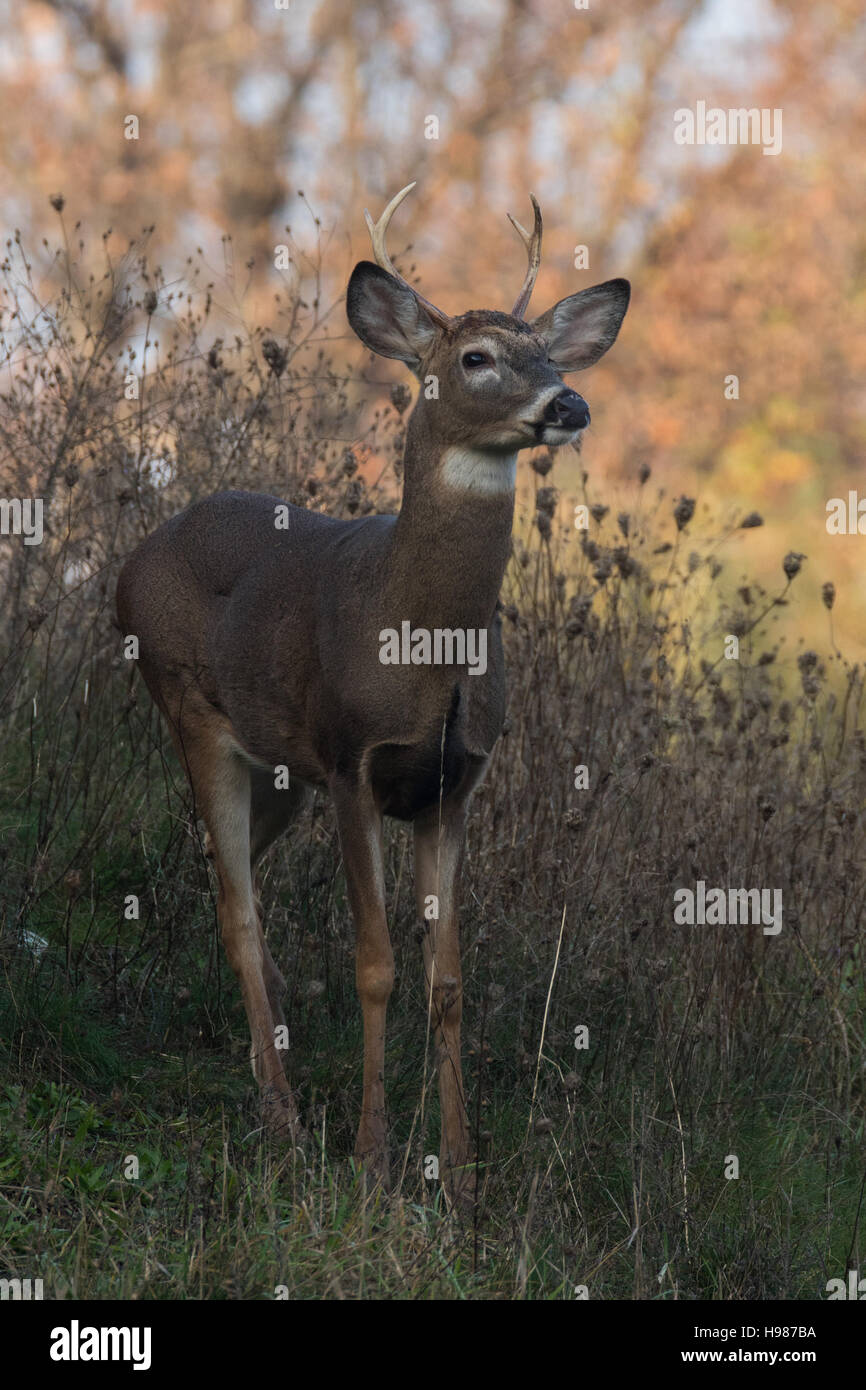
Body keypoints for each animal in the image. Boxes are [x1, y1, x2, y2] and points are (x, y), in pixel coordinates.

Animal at [116, 184, 631, 1206]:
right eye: (475, 357)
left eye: (550, 352)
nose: (568, 401)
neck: (422, 638)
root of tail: (128, 564)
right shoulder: (353, 762)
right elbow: (377, 966)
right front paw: (372, 1155)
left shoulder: (452, 785)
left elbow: (448, 980)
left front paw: (463, 1173)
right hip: (195, 714)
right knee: (237, 906)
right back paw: (280, 1114)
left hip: (279, 768)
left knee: (219, 868)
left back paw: (268, 1055)